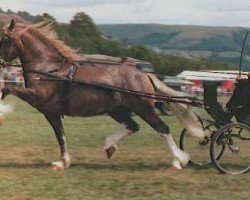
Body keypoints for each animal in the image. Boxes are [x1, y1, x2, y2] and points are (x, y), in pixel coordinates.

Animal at [0, 19, 202, 170]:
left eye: (5, 39)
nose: (1, 64)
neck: (48, 69)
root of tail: (143, 72)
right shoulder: (51, 112)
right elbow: (61, 136)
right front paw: (64, 162)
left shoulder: (39, 99)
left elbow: (9, 89)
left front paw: (2, 112)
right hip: (118, 109)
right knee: (133, 126)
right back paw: (109, 146)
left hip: (143, 107)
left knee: (162, 128)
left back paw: (178, 160)